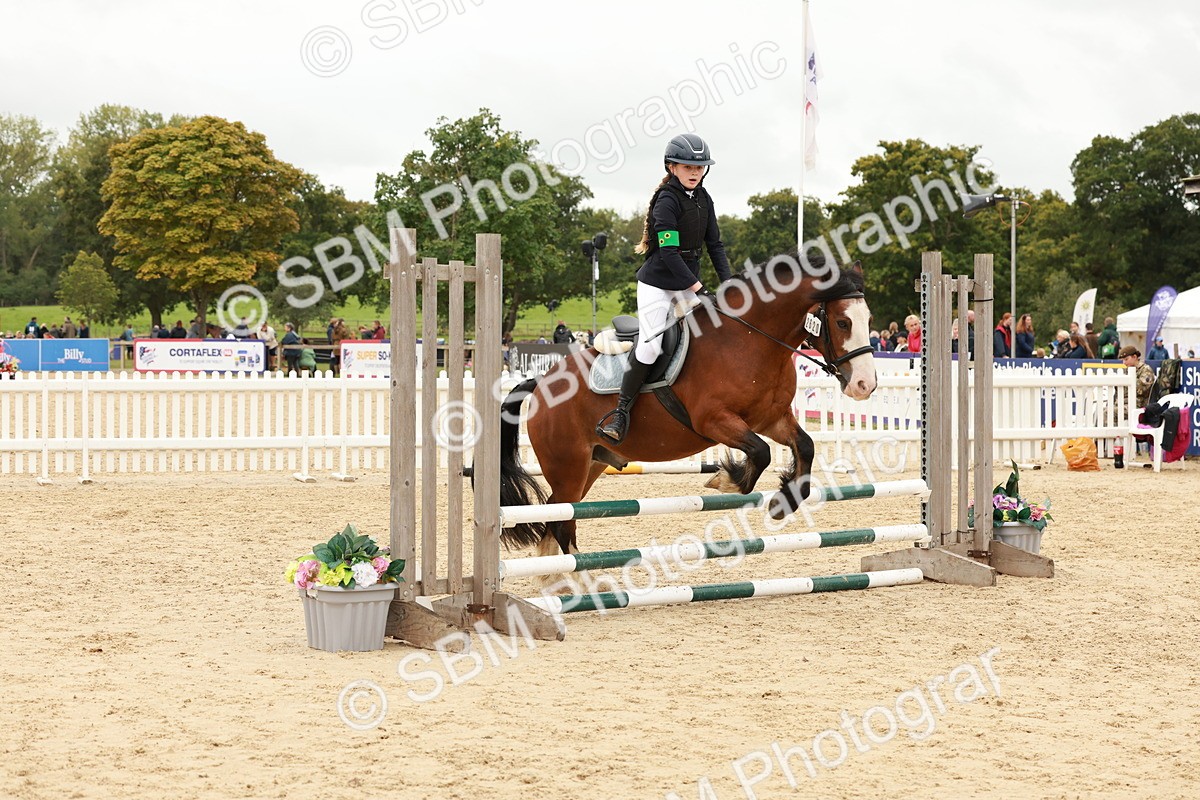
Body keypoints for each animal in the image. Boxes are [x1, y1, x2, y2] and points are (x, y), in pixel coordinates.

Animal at [498, 253, 877, 558]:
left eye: (869, 320)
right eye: (842, 322)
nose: (865, 385)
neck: (749, 341)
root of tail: (542, 383)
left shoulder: (771, 419)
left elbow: (806, 446)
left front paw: (783, 501)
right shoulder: (713, 420)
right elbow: (760, 452)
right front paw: (725, 481)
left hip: (590, 464)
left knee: (559, 514)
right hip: (568, 466)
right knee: (560, 519)